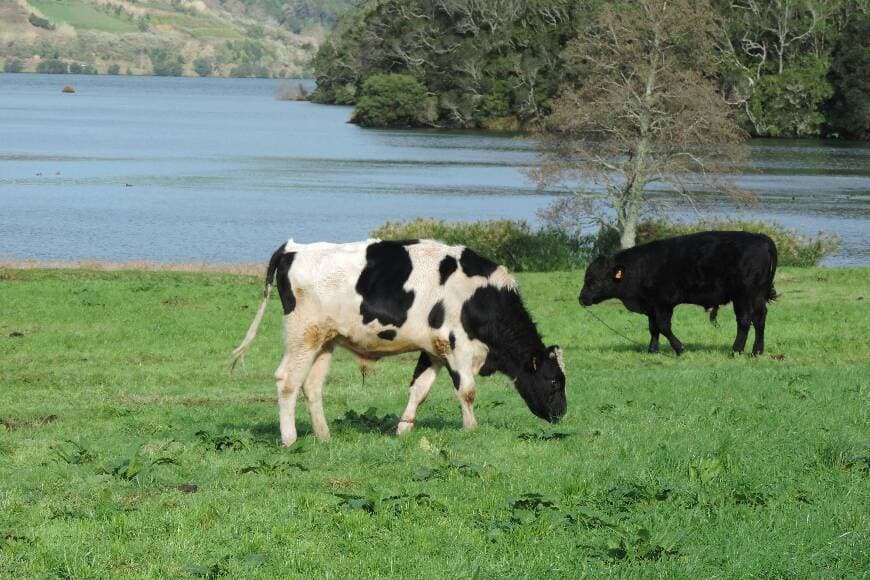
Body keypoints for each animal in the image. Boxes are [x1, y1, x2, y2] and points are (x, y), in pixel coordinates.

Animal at [232, 238, 568, 446]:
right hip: (303, 334)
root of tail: (294, 248)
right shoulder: (456, 345)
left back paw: (324, 435)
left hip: (324, 341)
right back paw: (289, 438)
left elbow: (420, 390)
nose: (562, 414)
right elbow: (467, 391)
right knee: (287, 381)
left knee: (311, 386)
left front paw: (404, 429)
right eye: (554, 381)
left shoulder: (434, 350)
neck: (480, 295)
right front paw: (471, 428)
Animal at [584, 230, 780, 354]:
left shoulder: (663, 303)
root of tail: (760, 238)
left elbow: (663, 326)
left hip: (743, 296)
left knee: (744, 321)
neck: (641, 268)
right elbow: (653, 328)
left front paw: (680, 348)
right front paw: (652, 350)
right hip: (757, 296)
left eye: (594, 281)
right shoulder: (652, 306)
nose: (581, 299)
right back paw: (756, 351)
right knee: (759, 319)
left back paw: (736, 350)